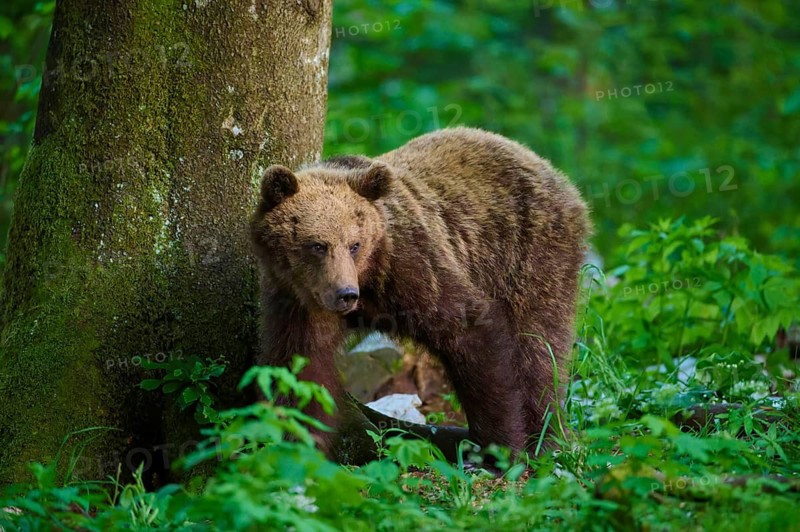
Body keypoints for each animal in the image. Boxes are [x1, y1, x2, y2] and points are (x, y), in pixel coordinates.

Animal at [249, 127, 591, 458]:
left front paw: (499, 448)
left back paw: (545, 437)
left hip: (529, 254)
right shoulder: (297, 302)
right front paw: (297, 442)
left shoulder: (411, 265)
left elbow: (472, 332)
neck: (368, 279)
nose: (346, 294)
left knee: (538, 347)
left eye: (354, 244)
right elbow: (302, 368)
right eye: (317, 245)